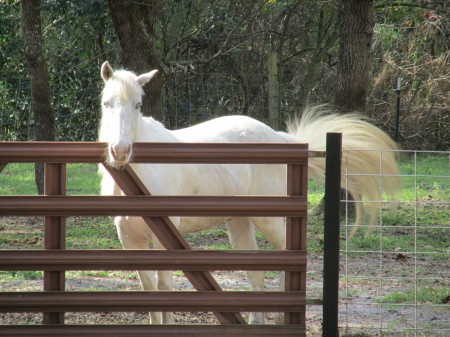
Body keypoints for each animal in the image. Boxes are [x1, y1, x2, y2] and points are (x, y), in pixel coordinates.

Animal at [98, 61, 400, 322]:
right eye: (106, 103)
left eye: (138, 105)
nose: (120, 151)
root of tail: (279, 138)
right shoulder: (129, 238)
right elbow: (149, 289)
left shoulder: (164, 239)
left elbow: (164, 287)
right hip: (240, 223)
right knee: (256, 274)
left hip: (269, 221)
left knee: (285, 257)